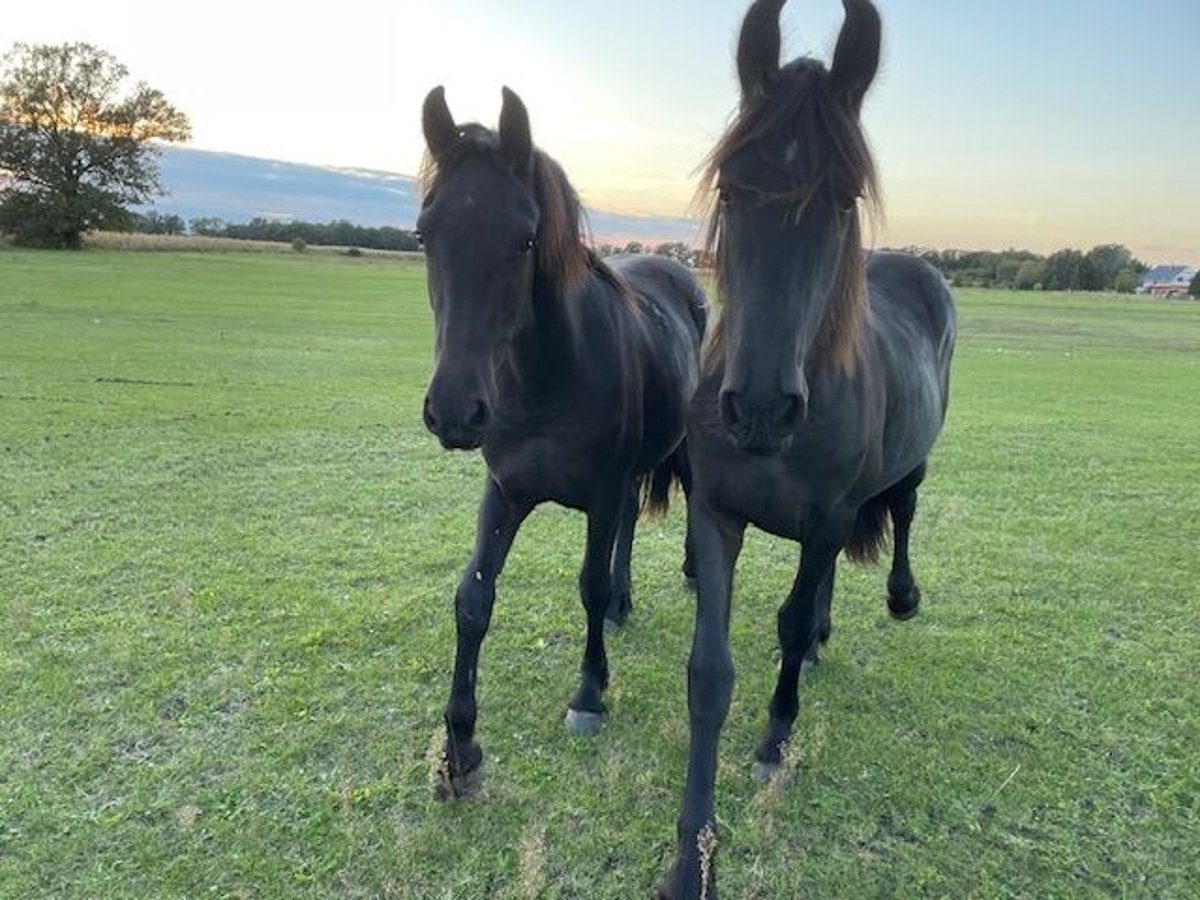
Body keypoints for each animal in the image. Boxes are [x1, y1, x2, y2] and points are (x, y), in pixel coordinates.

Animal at [417, 86, 705, 801]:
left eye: (525, 240)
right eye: (424, 233)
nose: (455, 411)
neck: (550, 377)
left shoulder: (600, 494)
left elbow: (588, 586)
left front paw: (589, 694)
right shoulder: (505, 491)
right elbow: (473, 598)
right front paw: (459, 746)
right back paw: (627, 604)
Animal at [662, 3, 950, 897]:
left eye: (844, 196)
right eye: (730, 186)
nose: (759, 405)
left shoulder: (826, 519)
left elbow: (786, 625)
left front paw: (773, 741)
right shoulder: (716, 515)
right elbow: (709, 671)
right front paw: (691, 853)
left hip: (903, 472)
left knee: (903, 510)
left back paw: (899, 597)